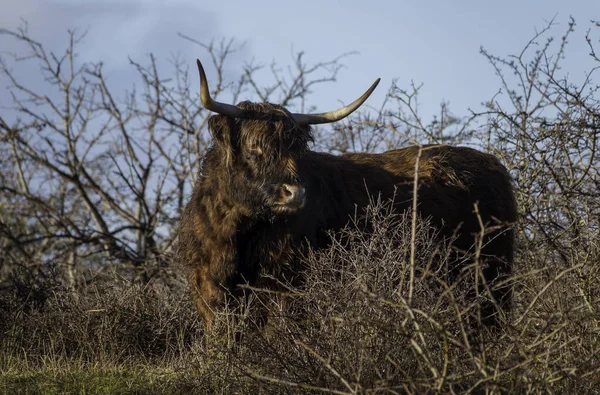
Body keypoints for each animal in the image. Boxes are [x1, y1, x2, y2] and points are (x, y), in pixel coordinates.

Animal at [177, 58, 516, 330]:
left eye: (296, 149)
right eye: (254, 148)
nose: (295, 193)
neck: (236, 230)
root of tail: (493, 164)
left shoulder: (286, 282)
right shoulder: (207, 285)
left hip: (492, 277)